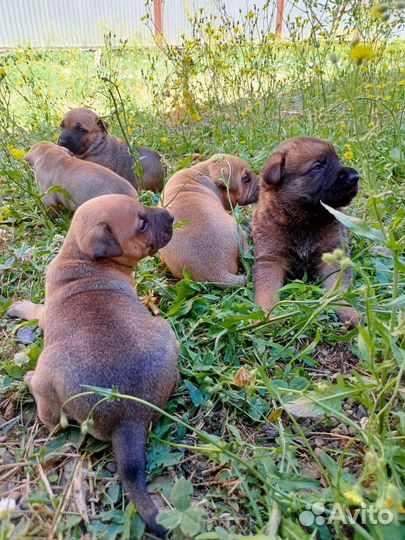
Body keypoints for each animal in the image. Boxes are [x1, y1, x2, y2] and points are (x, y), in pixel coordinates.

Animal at [5, 195, 180, 536]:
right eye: (141, 223)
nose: (171, 216)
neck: (83, 260)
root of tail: (131, 414)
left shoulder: (44, 314)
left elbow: (34, 309)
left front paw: (18, 307)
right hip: (165, 331)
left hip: (50, 370)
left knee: (51, 419)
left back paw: (29, 380)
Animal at [252, 137, 360, 326]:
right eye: (318, 167)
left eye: (338, 160)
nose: (355, 177)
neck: (305, 221)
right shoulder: (271, 259)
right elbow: (267, 289)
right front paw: (266, 314)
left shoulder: (332, 254)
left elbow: (337, 286)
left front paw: (345, 309)